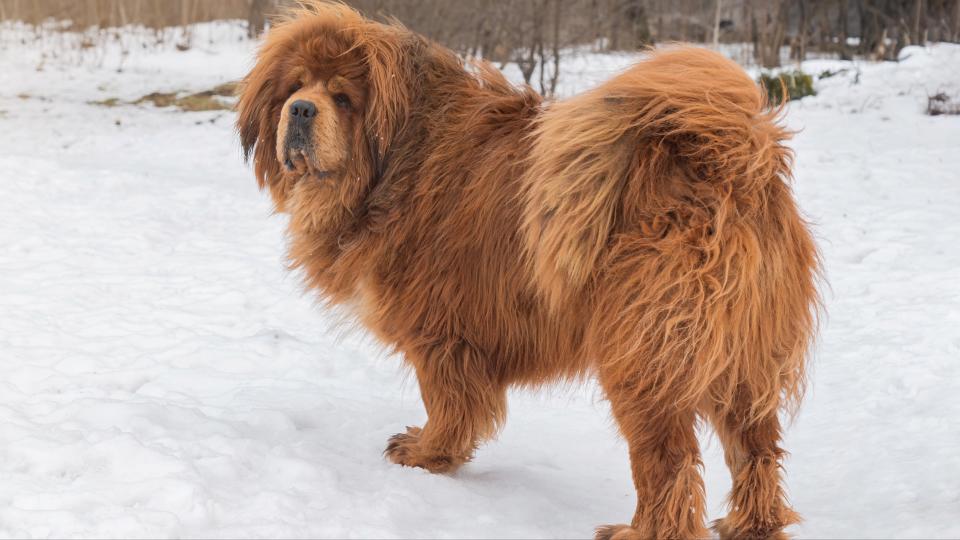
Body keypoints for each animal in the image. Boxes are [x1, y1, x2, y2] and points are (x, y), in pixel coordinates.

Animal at [238, 3, 816, 536]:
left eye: (342, 98)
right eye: (294, 87)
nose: (301, 110)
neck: (394, 158)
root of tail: (731, 161)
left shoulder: (439, 334)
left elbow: (447, 404)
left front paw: (428, 456)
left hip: (643, 356)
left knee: (669, 462)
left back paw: (642, 530)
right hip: (742, 361)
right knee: (756, 450)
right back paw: (751, 524)